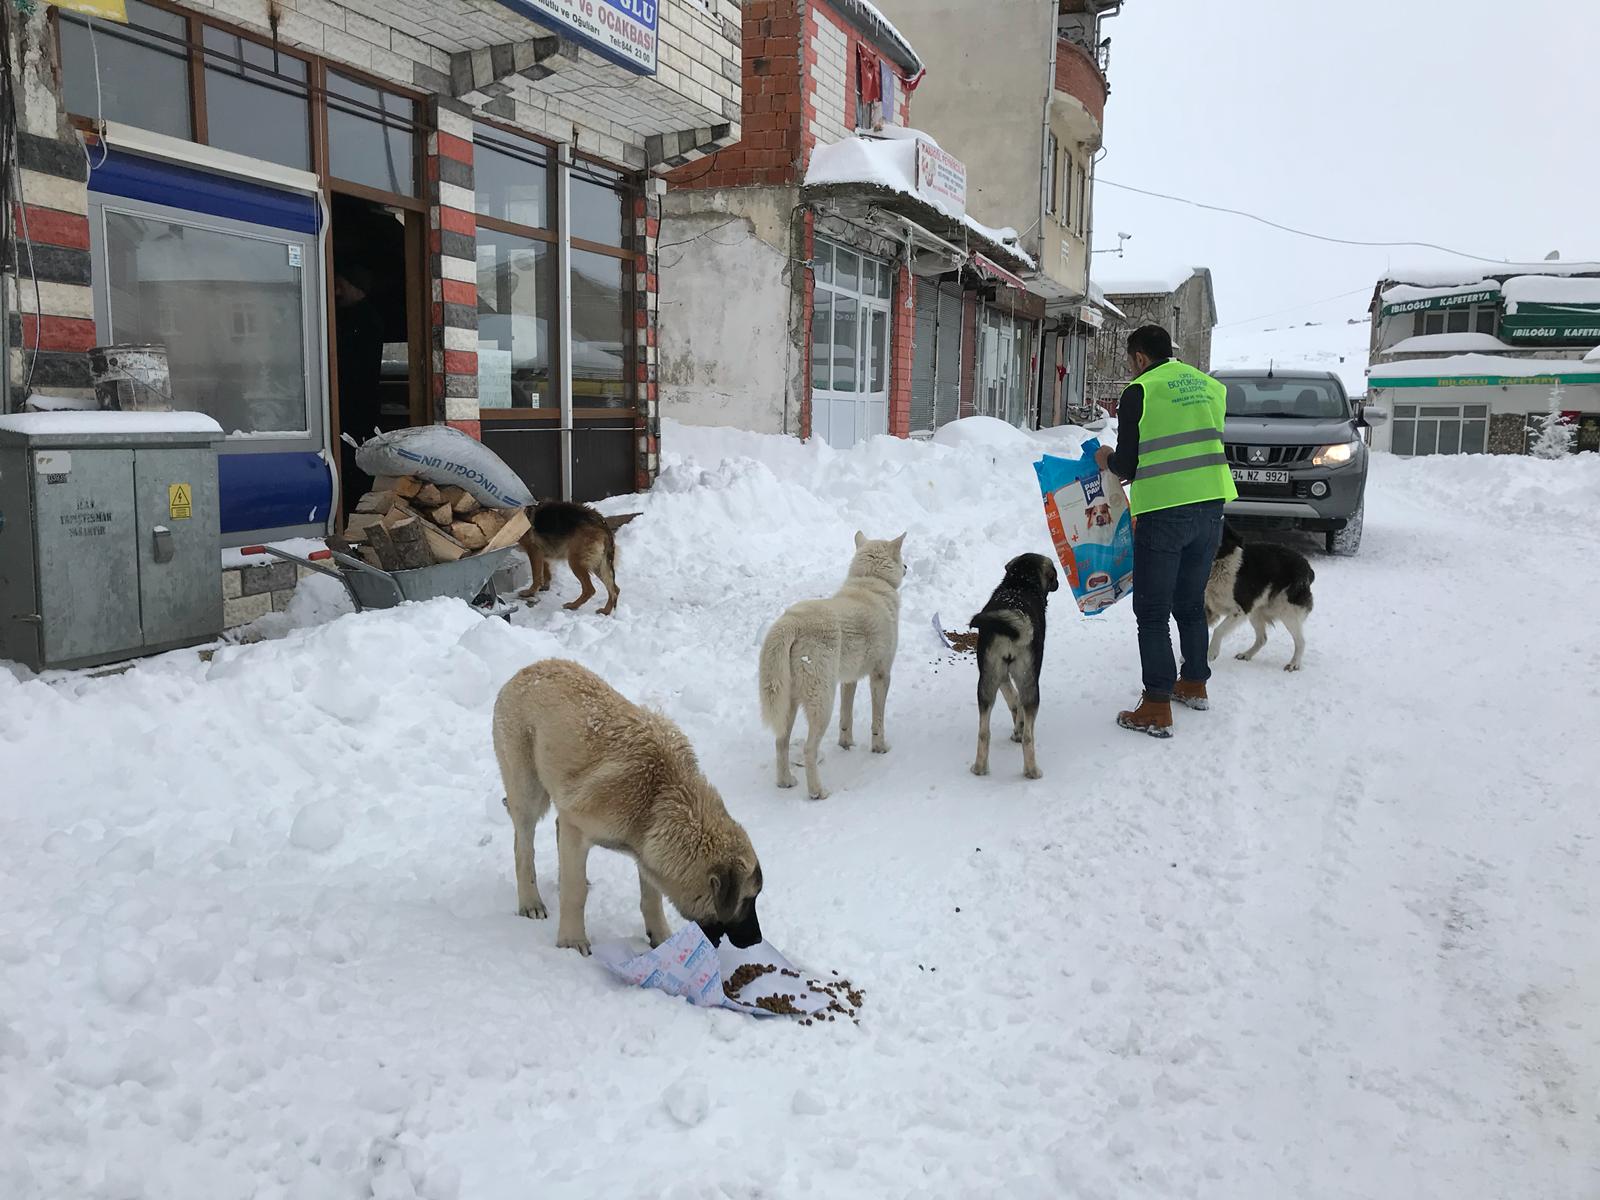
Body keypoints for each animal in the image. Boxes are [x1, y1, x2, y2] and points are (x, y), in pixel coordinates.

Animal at [492, 658, 763, 955]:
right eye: (748, 900)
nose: (757, 940)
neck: (659, 796)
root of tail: (526, 670)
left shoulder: (645, 851)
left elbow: (651, 898)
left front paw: (661, 938)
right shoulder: (578, 827)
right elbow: (575, 893)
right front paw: (572, 942)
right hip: (528, 792)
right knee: (523, 848)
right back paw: (531, 902)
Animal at [758, 532, 906, 800]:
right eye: (902, 559)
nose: (908, 567)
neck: (870, 581)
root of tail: (790, 622)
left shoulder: (849, 680)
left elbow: (846, 718)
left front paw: (846, 744)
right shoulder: (881, 675)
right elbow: (877, 721)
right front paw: (879, 748)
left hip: (789, 704)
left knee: (780, 742)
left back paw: (785, 782)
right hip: (822, 703)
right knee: (808, 750)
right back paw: (818, 792)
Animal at [969, 553, 1058, 780]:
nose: (1058, 583)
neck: (1020, 583)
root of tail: (1014, 628)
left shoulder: (1000, 676)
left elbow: (1012, 699)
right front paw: (1018, 728)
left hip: (987, 680)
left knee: (984, 732)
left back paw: (980, 767)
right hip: (1030, 683)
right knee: (1029, 736)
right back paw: (1032, 771)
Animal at [1205, 523, 1315, 672]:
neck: (1221, 563)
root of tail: (1307, 566)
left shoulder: (1241, 609)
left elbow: (1218, 630)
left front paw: (1211, 653)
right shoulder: (1208, 609)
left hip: (1287, 611)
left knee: (1301, 641)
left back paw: (1294, 664)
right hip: (1257, 611)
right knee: (1263, 638)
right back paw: (1246, 655)